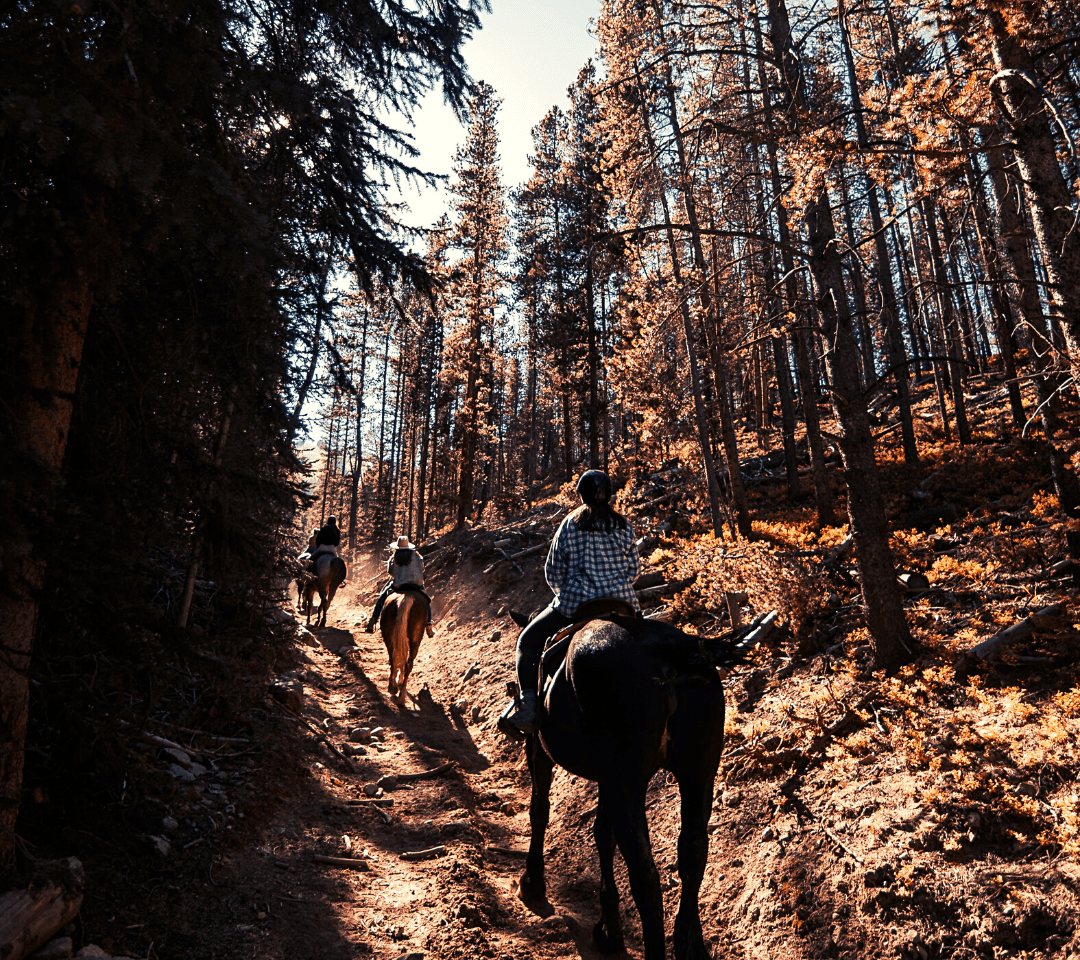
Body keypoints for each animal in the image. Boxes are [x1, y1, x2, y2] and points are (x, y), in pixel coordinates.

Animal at [507, 604, 773, 958]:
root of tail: (669, 651)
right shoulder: (609, 779)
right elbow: (602, 833)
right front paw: (609, 928)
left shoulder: (540, 751)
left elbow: (540, 810)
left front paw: (532, 882)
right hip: (697, 773)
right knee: (693, 852)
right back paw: (690, 943)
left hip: (628, 783)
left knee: (645, 878)